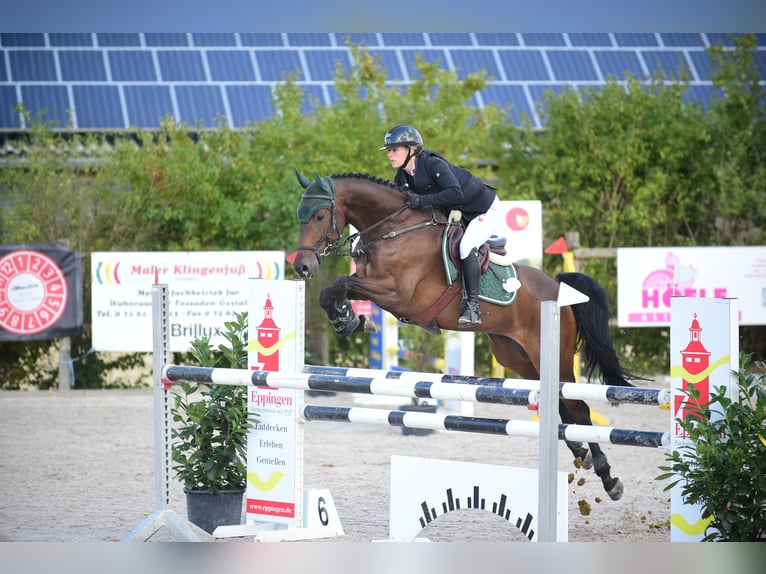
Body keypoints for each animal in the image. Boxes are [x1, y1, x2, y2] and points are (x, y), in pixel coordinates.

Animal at [292, 169, 640, 502]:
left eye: (320, 216)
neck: (394, 229)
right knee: (560, 405)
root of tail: (558, 287)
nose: (302, 267)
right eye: (301, 214)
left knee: (579, 408)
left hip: (553, 356)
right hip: (520, 359)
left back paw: (609, 479)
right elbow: (331, 291)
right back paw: (582, 454)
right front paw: (348, 320)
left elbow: (340, 284)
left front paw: (351, 319)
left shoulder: (396, 293)